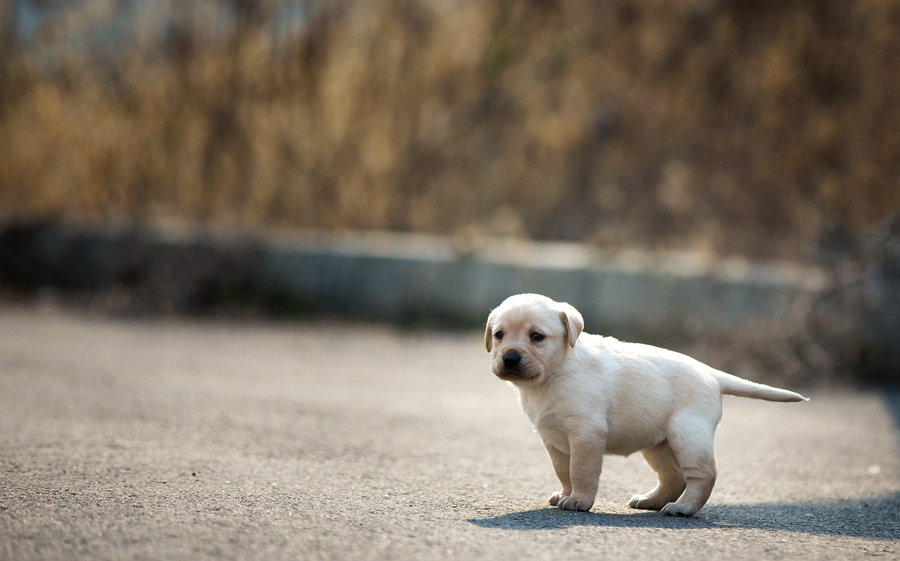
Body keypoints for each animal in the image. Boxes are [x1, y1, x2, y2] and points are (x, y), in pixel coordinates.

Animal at [486, 294, 808, 516]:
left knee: (703, 475)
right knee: (672, 478)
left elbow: (580, 470)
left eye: (537, 337)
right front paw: (565, 494)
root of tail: (711, 373)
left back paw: (683, 508)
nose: (510, 358)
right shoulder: (553, 440)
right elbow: (563, 471)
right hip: (659, 445)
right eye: (499, 335)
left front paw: (579, 500)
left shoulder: (586, 434)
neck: (555, 372)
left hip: (687, 435)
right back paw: (650, 501)